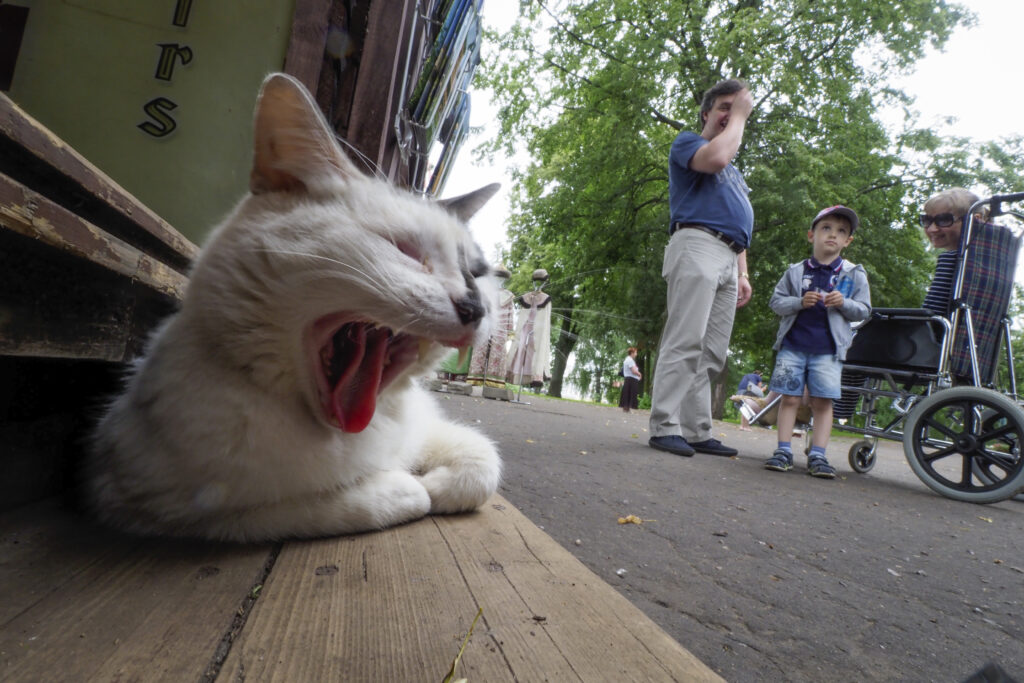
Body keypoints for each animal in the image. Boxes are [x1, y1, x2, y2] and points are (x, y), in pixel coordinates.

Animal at [86, 73, 501, 544]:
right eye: (405, 250)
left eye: (476, 272)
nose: (475, 306)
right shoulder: (148, 503)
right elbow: (347, 502)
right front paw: (409, 485)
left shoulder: (427, 427)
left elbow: (484, 462)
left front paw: (438, 482)